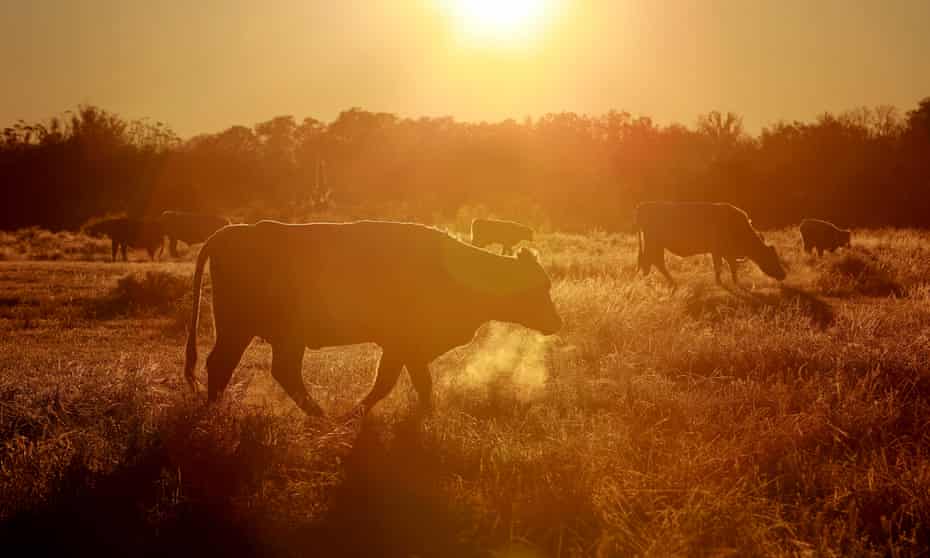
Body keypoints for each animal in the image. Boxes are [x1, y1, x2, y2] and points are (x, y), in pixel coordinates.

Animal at [184, 220, 562, 417]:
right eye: (538, 288)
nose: (557, 323)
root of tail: (229, 233)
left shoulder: (407, 349)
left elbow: (413, 381)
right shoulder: (401, 344)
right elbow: (390, 383)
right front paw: (359, 414)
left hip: (271, 336)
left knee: (272, 370)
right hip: (241, 330)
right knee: (226, 365)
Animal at [633, 202, 786, 286]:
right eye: (771, 258)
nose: (783, 274)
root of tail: (643, 205)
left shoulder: (724, 252)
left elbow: (730, 266)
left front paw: (734, 281)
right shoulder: (718, 250)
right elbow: (721, 267)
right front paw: (721, 282)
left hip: (656, 245)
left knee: (653, 262)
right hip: (654, 243)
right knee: (654, 261)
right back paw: (671, 282)